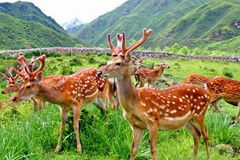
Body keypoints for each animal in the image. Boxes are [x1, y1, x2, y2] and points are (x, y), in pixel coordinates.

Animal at [97, 29, 210, 159]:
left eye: (118, 63)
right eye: (108, 61)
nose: (99, 72)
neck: (134, 101)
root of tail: (208, 94)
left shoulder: (153, 121)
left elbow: (153, 149)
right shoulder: (136, 126)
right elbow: (133, 149)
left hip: (200, 114)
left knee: (206, 134)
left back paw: (208, 156)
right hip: (188, 120)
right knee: (196, 134)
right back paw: (193, 156)